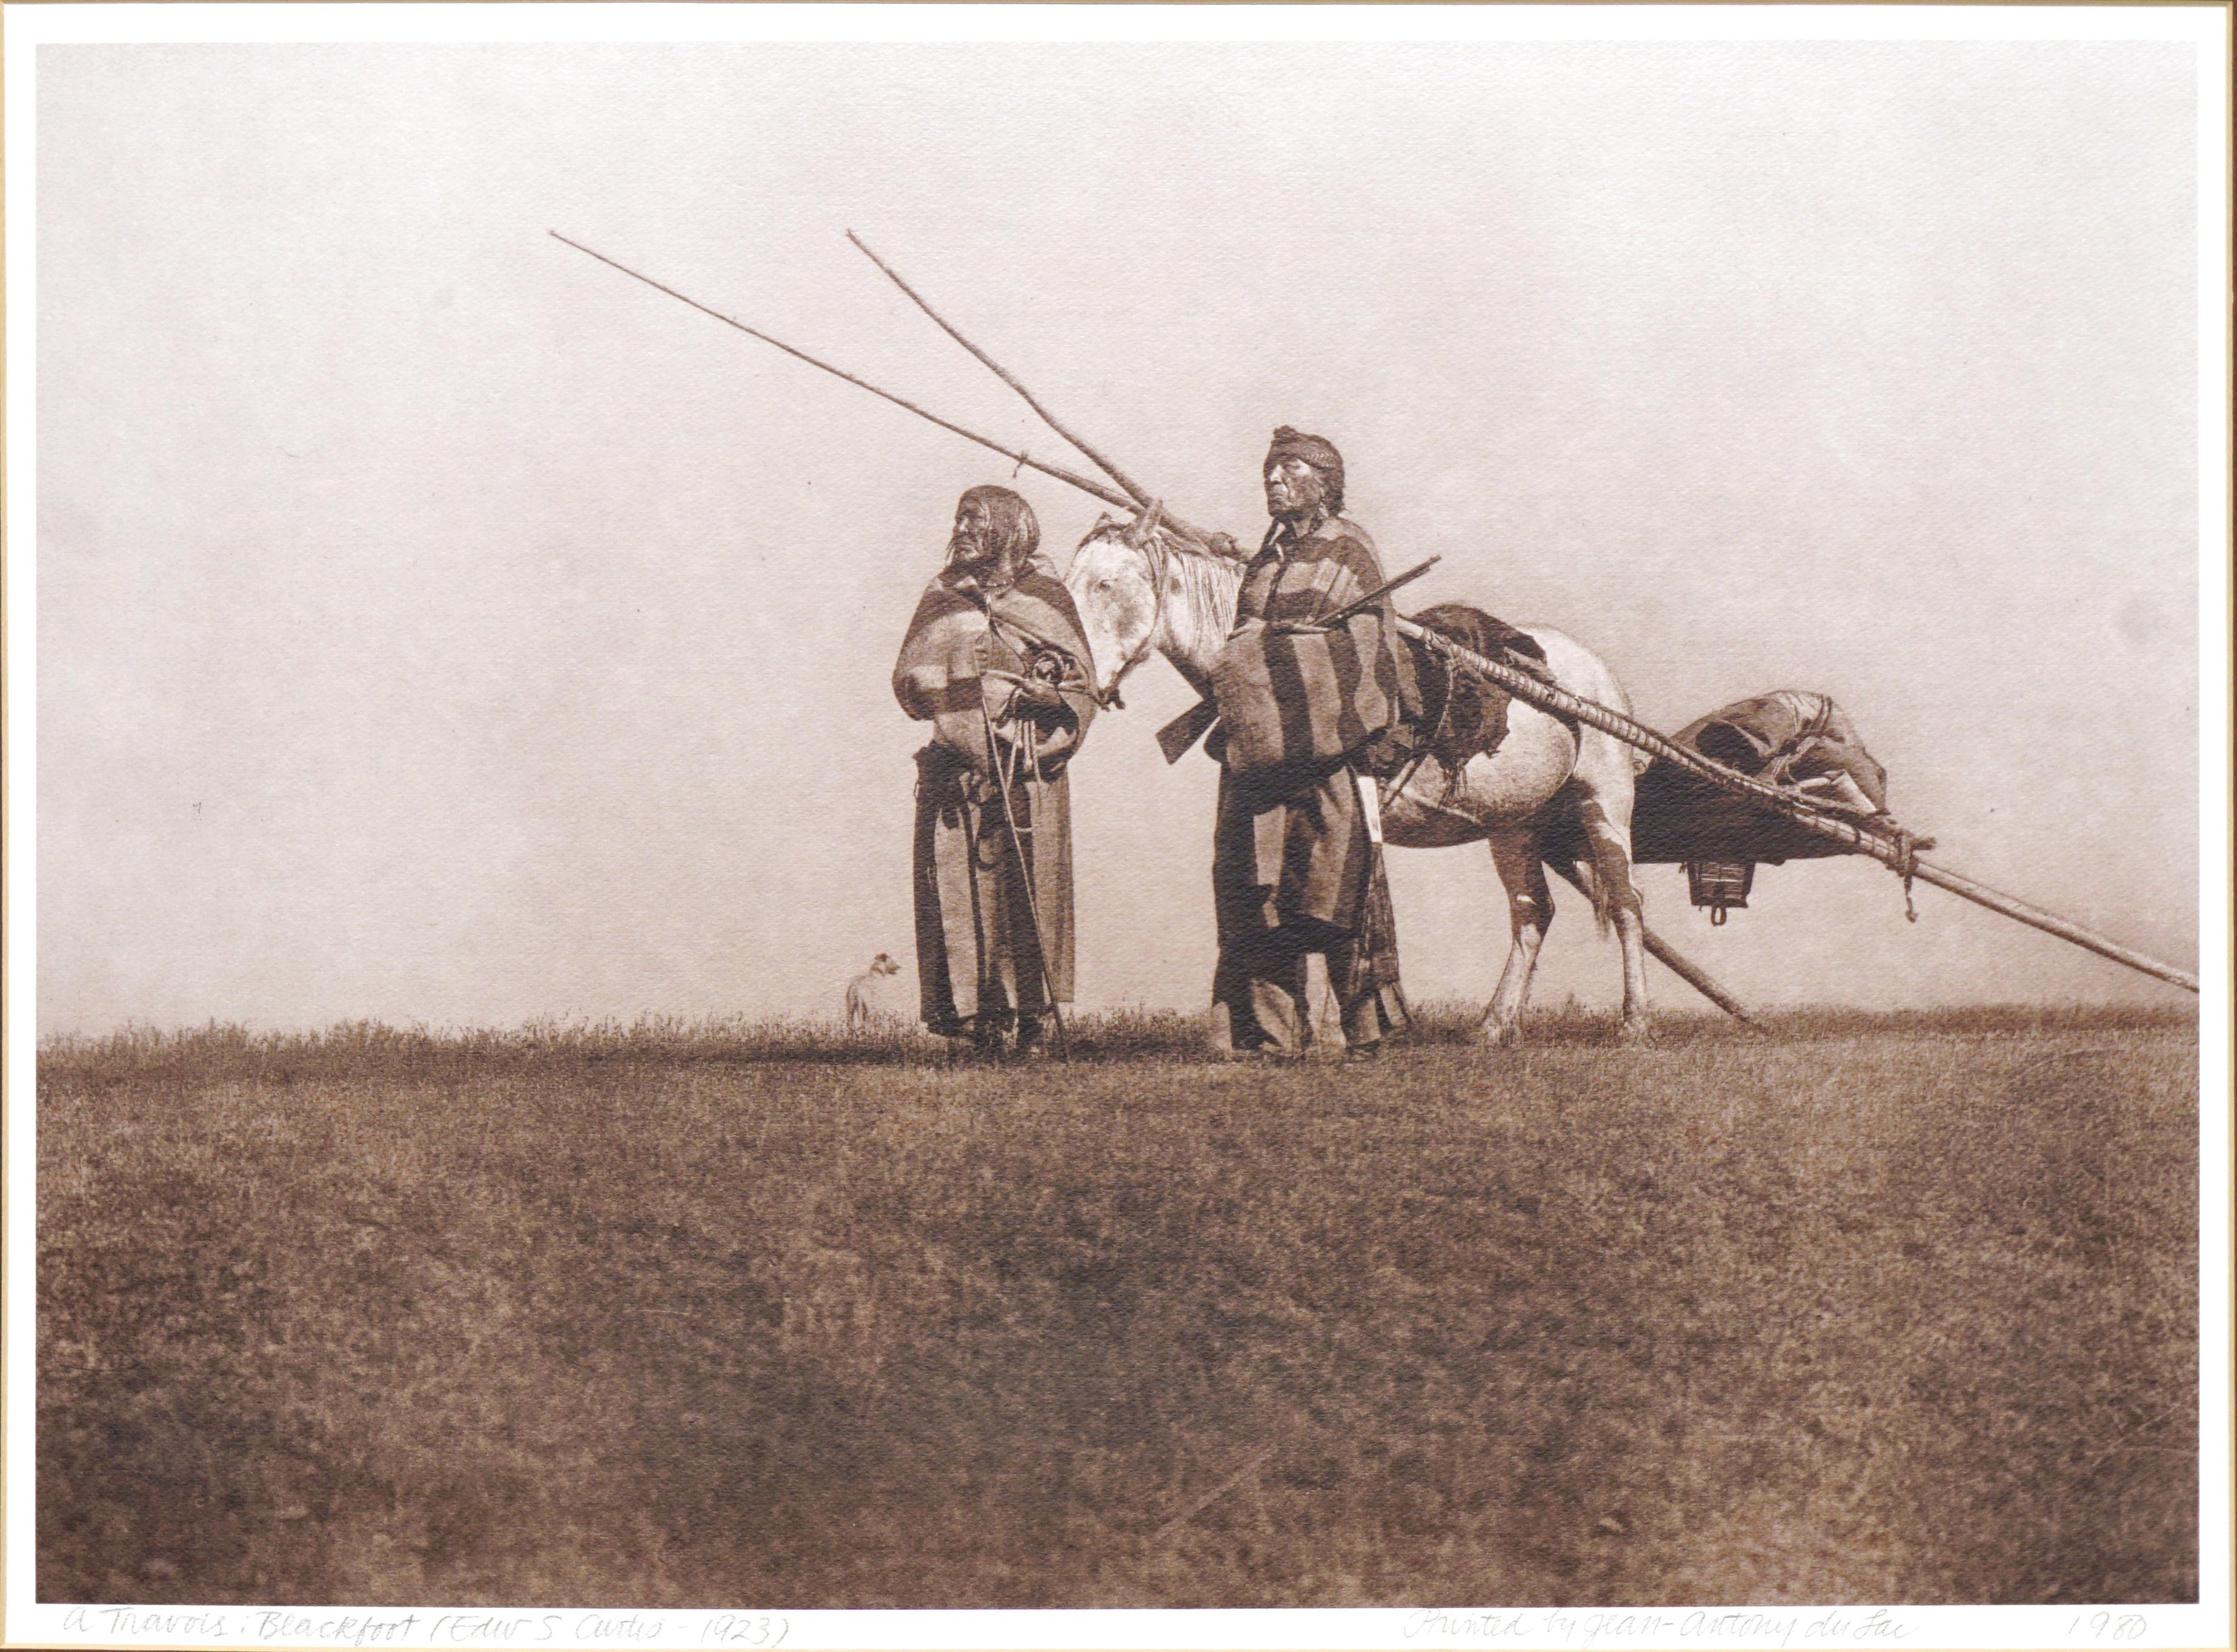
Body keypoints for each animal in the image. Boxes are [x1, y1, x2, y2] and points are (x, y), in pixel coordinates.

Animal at [845, 947, 899, 1028]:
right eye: (892, 960)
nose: (899, 967)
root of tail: (857, 987)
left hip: (852, 1003)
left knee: (850, 1020)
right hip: (866, 1002)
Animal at [1065, 514, 1664, 1046]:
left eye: (1106, 583)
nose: (1071, 672)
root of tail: (1597, 673)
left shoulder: (1357, 805)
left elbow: (1342, 904)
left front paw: (1339, 1030)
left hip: (1604, 801)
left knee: (1627, 902)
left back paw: (1634, 1021)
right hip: (1514, 822)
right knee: (1532, 913)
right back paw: (1496, 1025)